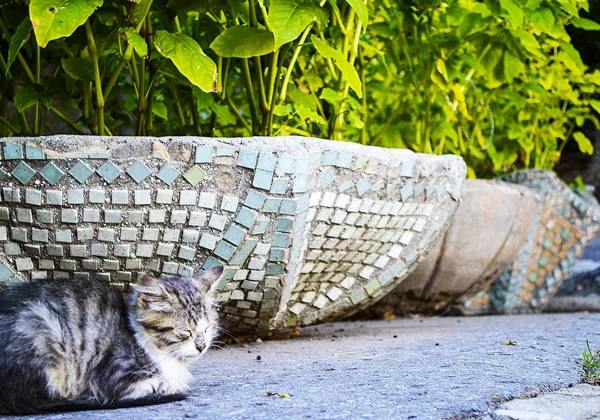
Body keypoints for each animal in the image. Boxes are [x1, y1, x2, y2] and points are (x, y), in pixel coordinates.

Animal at [0, 266, 223, 414]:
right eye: (185, 332)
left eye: (207, 328)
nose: (202, 346)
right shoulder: (115, 375)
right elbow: (163, 384)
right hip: (42, 327)